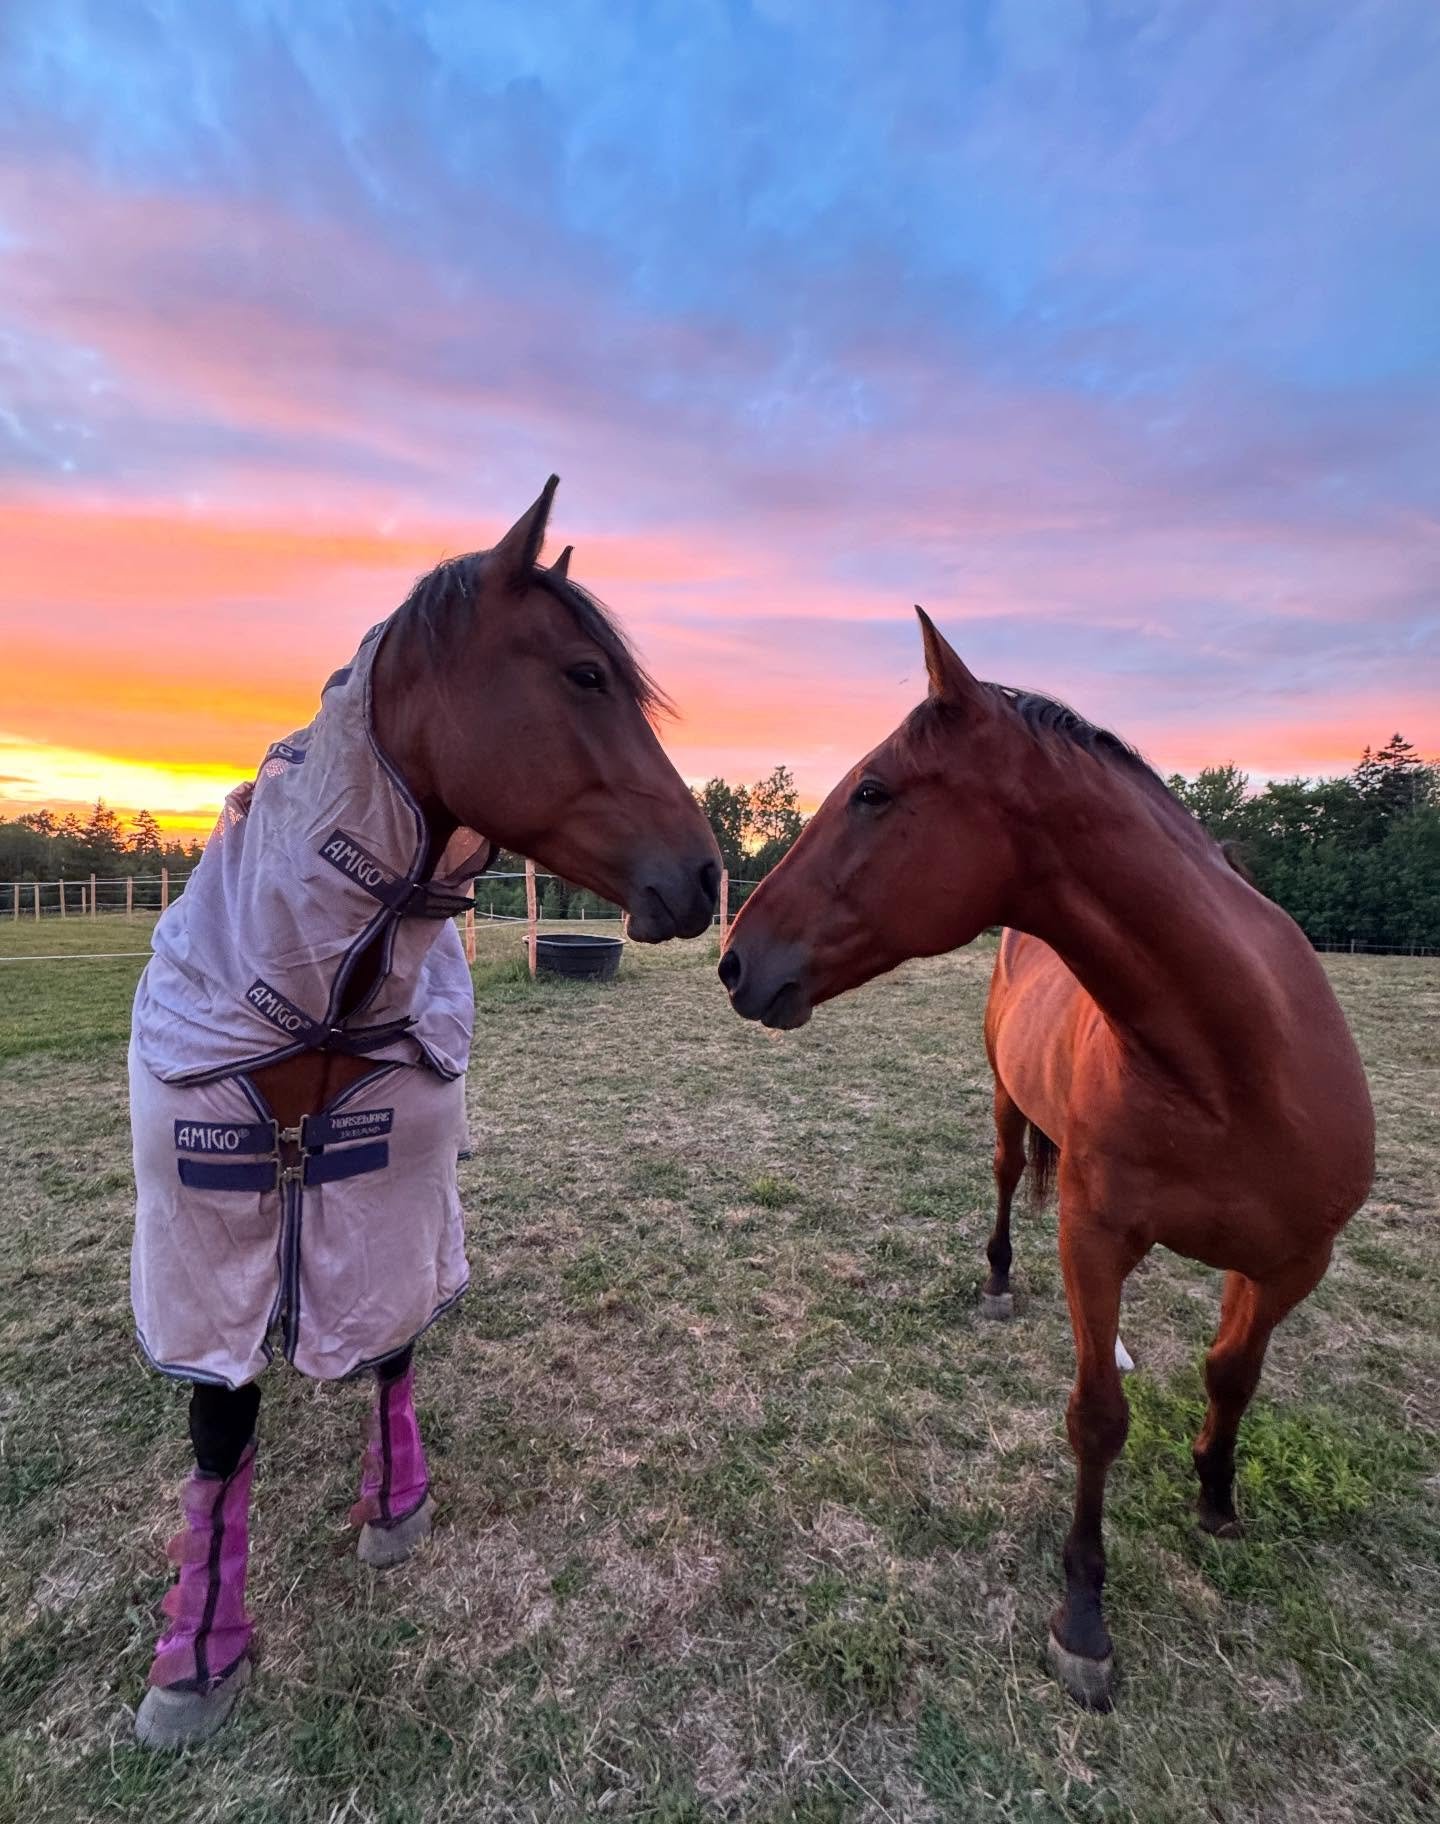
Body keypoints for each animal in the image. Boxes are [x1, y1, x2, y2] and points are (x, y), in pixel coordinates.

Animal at [127, 478, 720, 1747]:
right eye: (584, 674)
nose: (705, 875)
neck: (322, 988)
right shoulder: (210, 1207)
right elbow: (219, 1427)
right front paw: (194, 1656)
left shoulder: (384, 1175)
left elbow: (392, 1335)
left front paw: (394, 1504)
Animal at [718, 607, 1374, 1709]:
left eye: (874, 790)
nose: (731, 959)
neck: (1237, 1065)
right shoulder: (1092, 1237)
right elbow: (1097, 1418)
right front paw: (1085, 1619)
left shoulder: (1291, 1264)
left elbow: (1232, 1375)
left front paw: (1217, 1497)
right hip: (1004, 1111)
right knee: (999, 1184)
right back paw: (994, 1281)